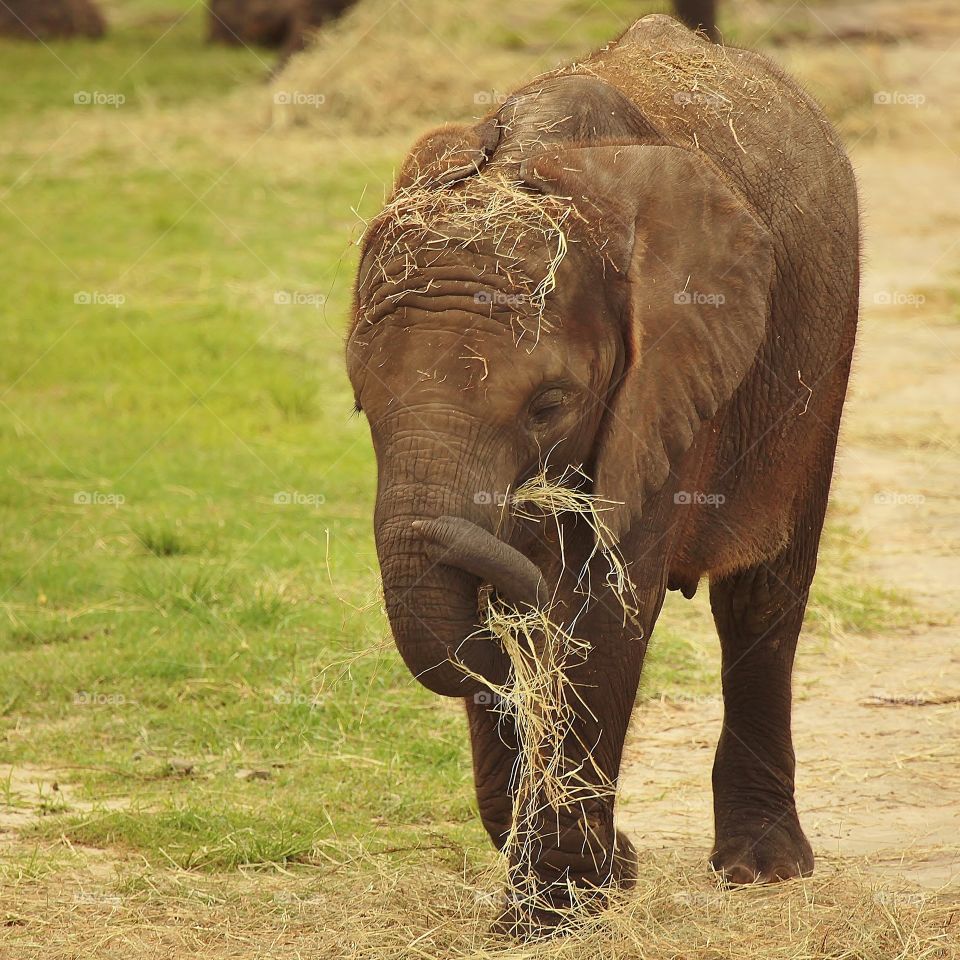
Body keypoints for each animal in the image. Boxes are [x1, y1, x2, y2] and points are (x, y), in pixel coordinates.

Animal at [348, 11, 860, 932]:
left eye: (551, 404)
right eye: (361, 402)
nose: (626, 857)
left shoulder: (674, 374)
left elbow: (606, 601)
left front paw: (548, 916)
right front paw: (594, 883)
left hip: (823, 358)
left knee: (764, 593)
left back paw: (763, 870)